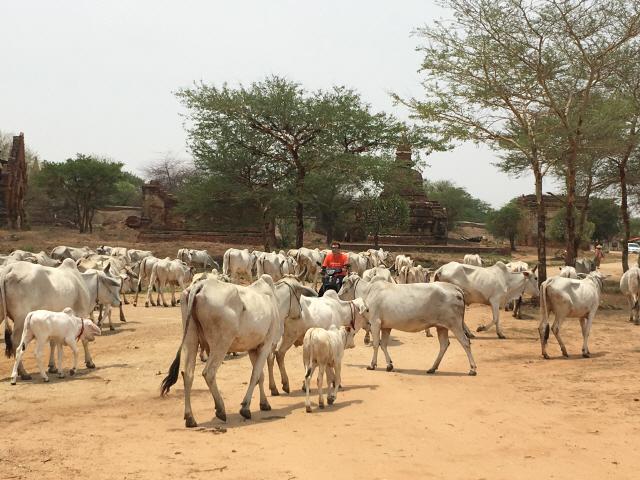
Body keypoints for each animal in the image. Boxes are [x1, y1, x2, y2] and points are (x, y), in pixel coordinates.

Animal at [160, 272, 318, 426]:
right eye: (299, 295)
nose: (300, 313)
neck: (274, 300)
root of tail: (200, 285)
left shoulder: (253, 348)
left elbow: (260, 376)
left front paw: (264, 403)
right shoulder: (266, 345)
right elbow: (255, 375)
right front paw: (245, 407)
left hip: (190, 340)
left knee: (187, 374)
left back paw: (190, 418)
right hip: (220, 345)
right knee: (209, 373)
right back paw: (220, 409)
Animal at [338, 274, 478, 376]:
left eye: (344, 282)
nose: (338, 295)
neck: (367, 292)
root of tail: (455, 288)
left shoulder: (375, 323)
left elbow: (376, 345)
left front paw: (372, 365)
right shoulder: (386, 327)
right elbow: (383, 345)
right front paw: (389, 365)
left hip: (455, 324)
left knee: (465, 342)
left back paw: (472, 369)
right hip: (441, 327)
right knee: (444, 344)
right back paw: (432, 368)